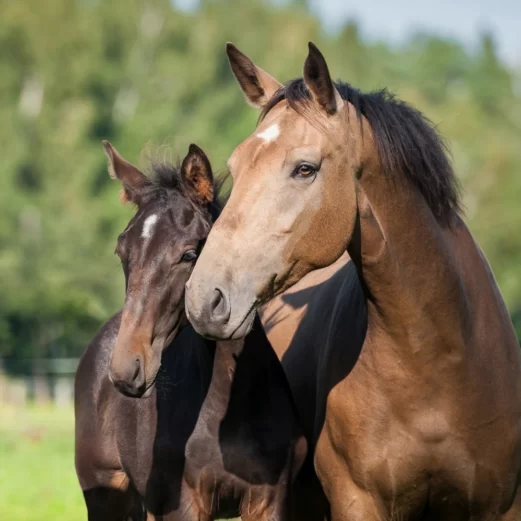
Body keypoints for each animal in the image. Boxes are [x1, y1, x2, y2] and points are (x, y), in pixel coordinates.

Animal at [74, 141, 306, 520]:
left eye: (189, 254)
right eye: (122, 251)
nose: (126, 370)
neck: (231, 406)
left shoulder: (269, 500)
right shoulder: (181, 505)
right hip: (107, 493)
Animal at [184, 41, 520, 520]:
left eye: (305, 168)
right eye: (236, 164)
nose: (203, 298)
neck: (436, 361)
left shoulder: (502, 505)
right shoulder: (358, 502)